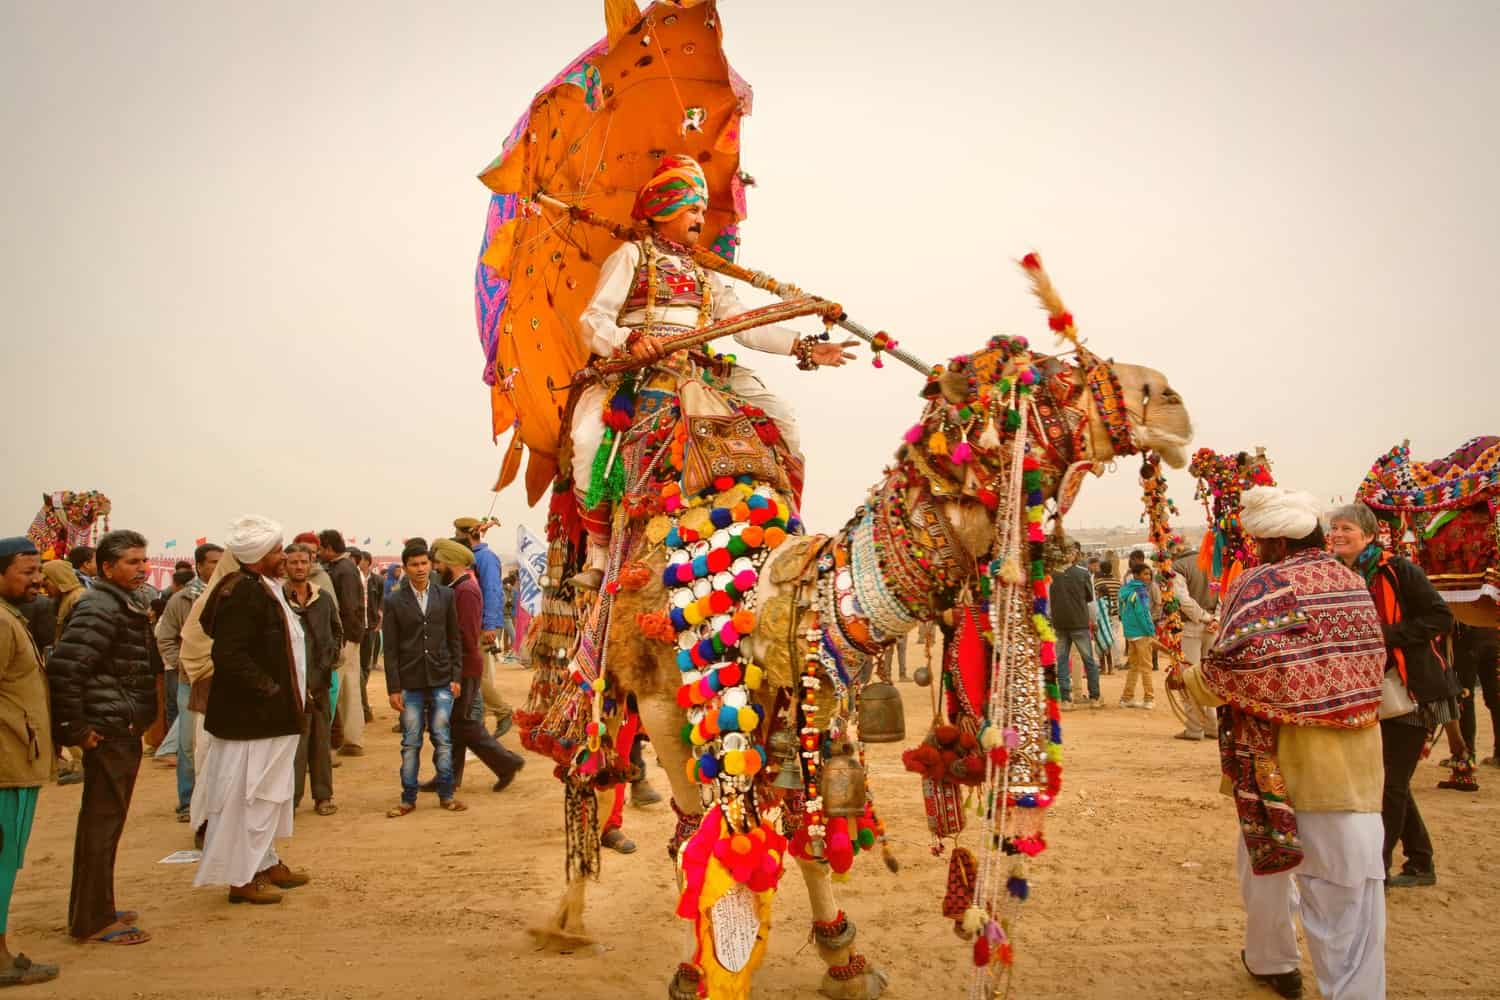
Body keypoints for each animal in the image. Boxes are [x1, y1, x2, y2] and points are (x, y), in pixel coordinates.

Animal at [516, 256, 1194, 1000]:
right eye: (1052, 378)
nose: (1168, 400)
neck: (760, 578)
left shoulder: (798, 682)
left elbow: (802, 830)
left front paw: (844, 956)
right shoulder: (666, 699)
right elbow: (700, 827)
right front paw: (700, 968)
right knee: (587, 768)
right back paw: (566, 917)